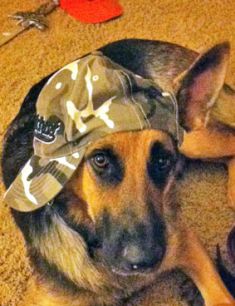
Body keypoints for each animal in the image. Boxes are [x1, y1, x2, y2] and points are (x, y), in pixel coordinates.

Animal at [1, 39, 235, 304]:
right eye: (100, 160)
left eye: (163, 160)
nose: (145, 261)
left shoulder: (186, 242)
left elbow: (223, 298)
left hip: (194, 141)